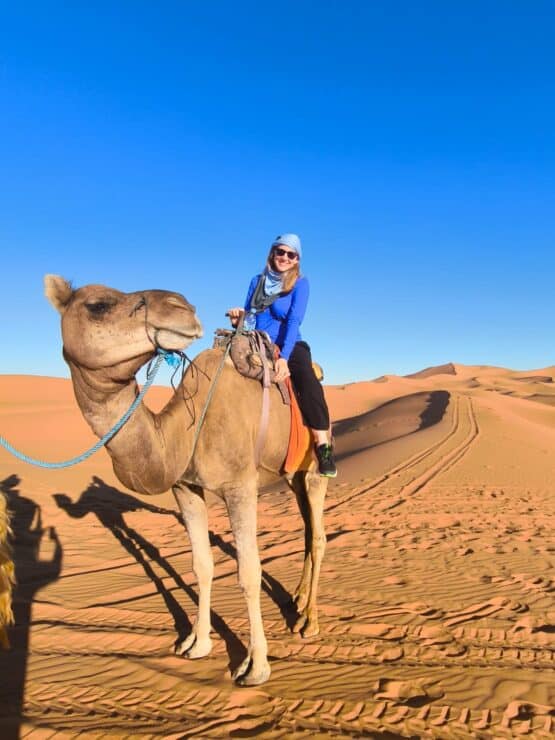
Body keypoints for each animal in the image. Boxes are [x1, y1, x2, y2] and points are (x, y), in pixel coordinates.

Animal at [45, 274, 328, 684]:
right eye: (97, 305)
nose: (182, 306)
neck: (186, 429)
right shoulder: (185, 487)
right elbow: (202, 566)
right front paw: (197, 644)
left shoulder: (240, 487)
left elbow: (249, 573)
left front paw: (255, 666)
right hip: (291, 474)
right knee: (308, 530)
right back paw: (297, 602)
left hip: (316, 466)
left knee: (319, 535)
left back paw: (309, 621)